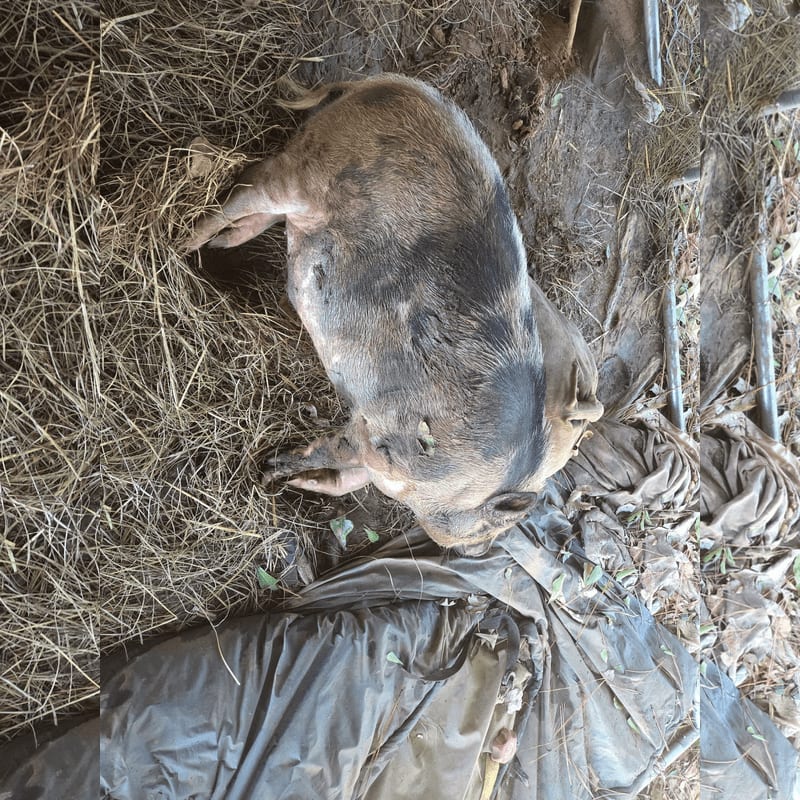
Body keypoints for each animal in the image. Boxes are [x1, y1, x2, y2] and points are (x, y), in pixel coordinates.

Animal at [186, 74, 602, 551]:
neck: (461, 486)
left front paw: (296, 484)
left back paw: (216, 249)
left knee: (258, 211)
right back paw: (181, 244)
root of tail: (388, 83)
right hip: (304, 171)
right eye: (483, 528)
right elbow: (333, 451)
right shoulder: (380, 435)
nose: (479, 550)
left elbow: (343, 479)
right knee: (248, 187)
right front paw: (271, 470)